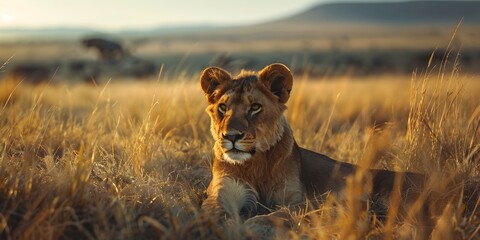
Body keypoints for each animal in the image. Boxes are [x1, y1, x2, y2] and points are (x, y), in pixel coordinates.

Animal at [201, 63, 426, 221]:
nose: (231, 136)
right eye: (223, 107)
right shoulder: (222, 189)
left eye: (255, 107)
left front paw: (254, 224)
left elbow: (279, 215)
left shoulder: (297, 199)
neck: (255, 165)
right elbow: (213, 210)